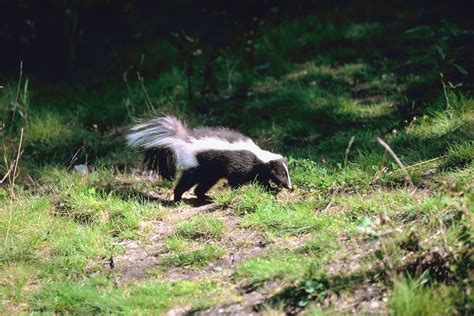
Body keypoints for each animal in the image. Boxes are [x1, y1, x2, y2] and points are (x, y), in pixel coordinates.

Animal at [126, 115, 290, 200]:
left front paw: (271, 189)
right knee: (186, 181)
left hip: (210, 173)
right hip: (197, 165)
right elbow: (235, 179)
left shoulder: (258, 170)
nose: (290, 186)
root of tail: (183, 140)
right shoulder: (240, 164)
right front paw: (238, 190)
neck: (258, 156)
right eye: (281, 174)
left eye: (286, 174)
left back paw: (205, 197)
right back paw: (177, 198)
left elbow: (262, 181)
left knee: (201, 186)